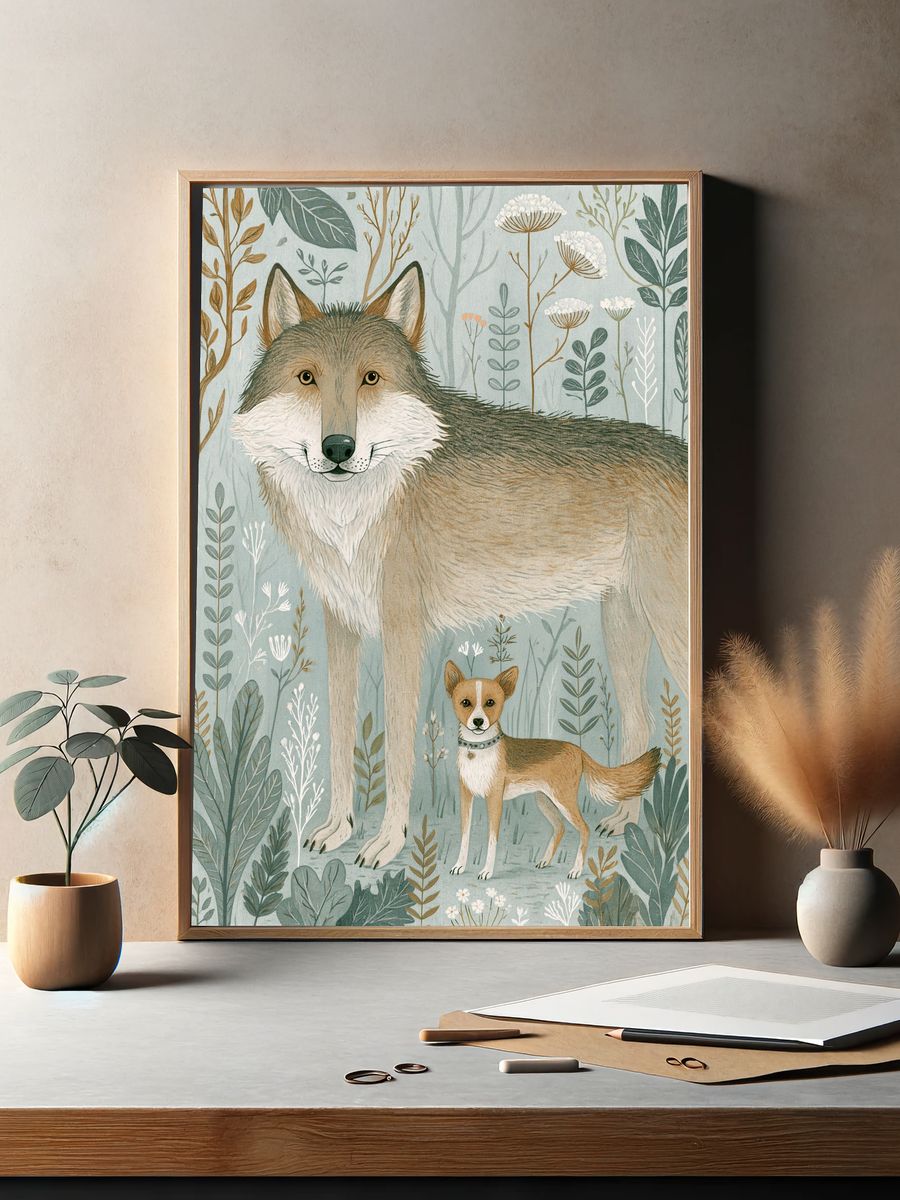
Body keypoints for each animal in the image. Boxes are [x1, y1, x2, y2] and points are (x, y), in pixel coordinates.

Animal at [445, 660, 661, 879]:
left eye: (490, 702)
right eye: (465, 702)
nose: (478, 722)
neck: (477, 751)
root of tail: (578, 750)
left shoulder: (494, 799)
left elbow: (492, 839)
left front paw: (487, 871)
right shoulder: (466, 797)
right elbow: (465, 835)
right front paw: (459, 865)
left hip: (563, 800)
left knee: (584, 829)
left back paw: (576, 869)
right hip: (545, 800)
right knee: (560, 828)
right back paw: (545, 861)